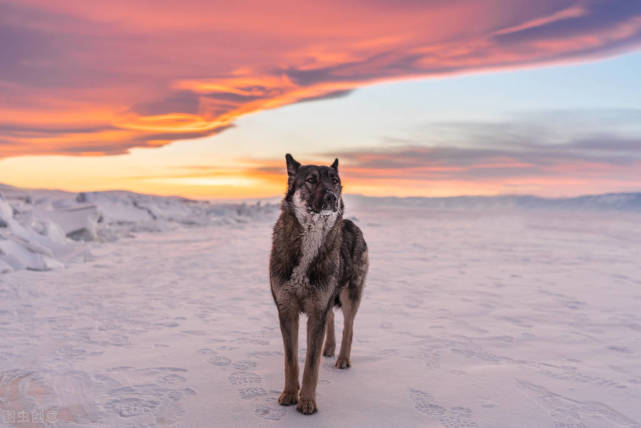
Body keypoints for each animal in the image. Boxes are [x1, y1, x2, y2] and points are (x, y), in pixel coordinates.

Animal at [268, 154, 368, 414]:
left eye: (335, 181)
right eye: (311, 180)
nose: (332, 197)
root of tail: (352, 224)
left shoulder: (316, 311)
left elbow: (311, 365)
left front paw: (307, 402)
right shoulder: (287, 310)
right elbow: (291, 360)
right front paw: (289, 394)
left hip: (351, 295)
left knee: (348, 327)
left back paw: (342, 358)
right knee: (332, 318)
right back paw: (329, 348)